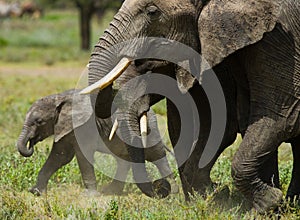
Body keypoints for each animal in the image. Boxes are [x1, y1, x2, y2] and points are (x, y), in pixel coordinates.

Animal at [17, 89, 176, 196]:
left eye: (39, 122)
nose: (30, 144)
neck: (59, 98)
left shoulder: (84, 127)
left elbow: (82, 156)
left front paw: (90, 196)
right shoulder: (66, 127)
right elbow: (60, 157)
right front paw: (36, 192)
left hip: (150, 130)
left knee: (157, 156)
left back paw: (173, 193)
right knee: (123, 161)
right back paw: (111, 192)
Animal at [81, 0, 298, 213]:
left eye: (152, 12)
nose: (160, 187)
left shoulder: (277, 42)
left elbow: (273, 119)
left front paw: (261, 205)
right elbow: (191, 128)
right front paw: (209, 199)